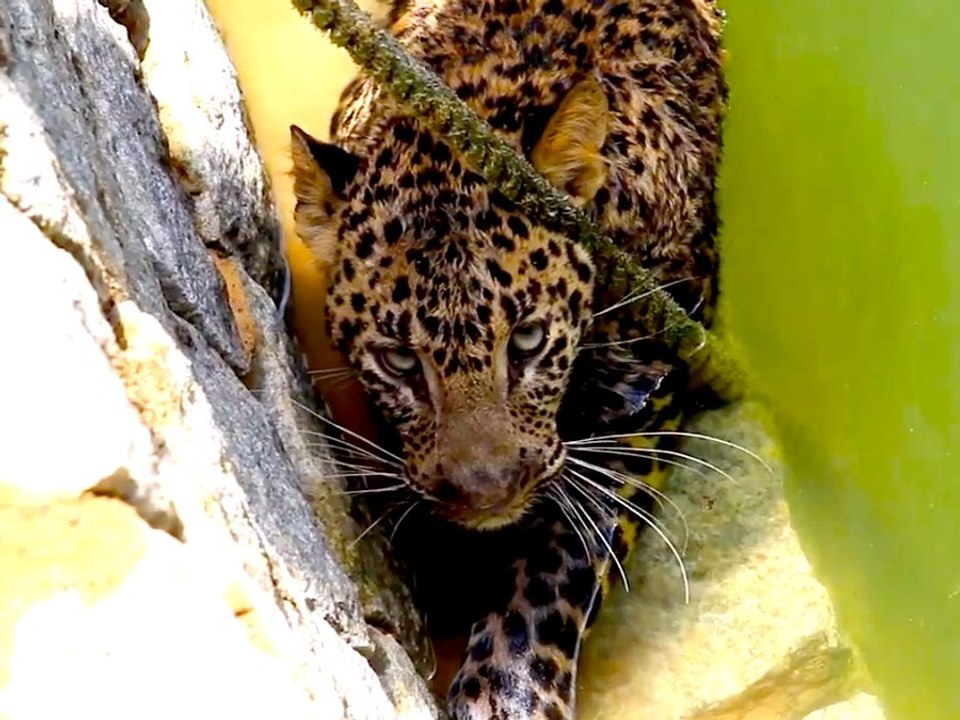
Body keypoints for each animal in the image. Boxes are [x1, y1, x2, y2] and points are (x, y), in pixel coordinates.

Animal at [289, 0, 726, 717]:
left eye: (526, 340)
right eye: (400, 362)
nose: (488, 493)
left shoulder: (643, 392)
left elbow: (563, 554)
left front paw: (508, 686)